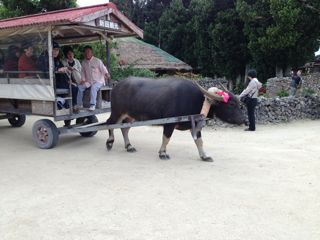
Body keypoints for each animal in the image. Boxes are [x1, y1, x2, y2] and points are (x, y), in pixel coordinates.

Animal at [106, 78, 244, 162]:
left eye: (238, 103)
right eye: (231, 104)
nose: (244, 119)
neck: (197, 99)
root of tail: (116, 87)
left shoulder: (194, 124)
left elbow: (199, 141)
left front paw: (204, 156)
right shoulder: (169, 124)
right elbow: (166, 139)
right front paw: (162, 153)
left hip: (130, 116)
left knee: (125, 129)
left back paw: (129, 146)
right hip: (117, 112)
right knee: (109, 124)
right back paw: (110, 142)